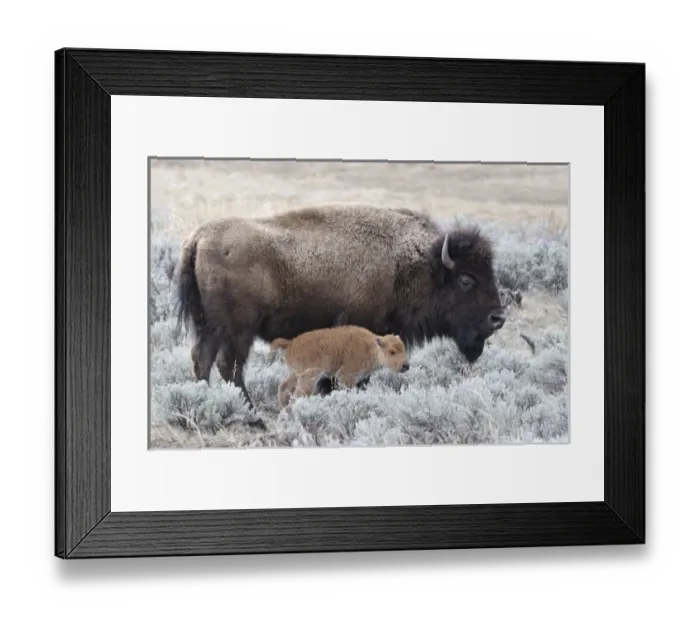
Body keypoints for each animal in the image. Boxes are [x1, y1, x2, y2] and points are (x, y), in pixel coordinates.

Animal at [269, 325, 410, 408]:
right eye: (392, 352)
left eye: (404, 348)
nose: (406, 365)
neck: (371, 347)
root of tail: (291, 342)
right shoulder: (346, 376)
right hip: (310, 376)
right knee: (298, 394)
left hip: (295, 374)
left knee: (284, 386)